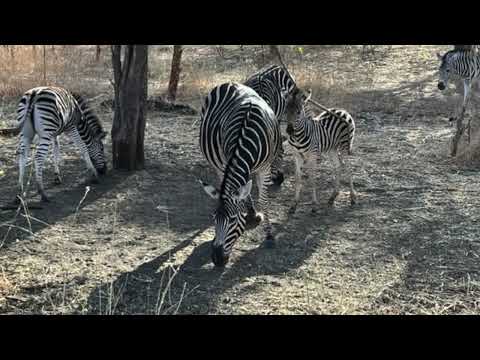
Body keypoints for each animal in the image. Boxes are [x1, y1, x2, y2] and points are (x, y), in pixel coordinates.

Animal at [198, 81, 282, 268]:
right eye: (214, 218)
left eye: (233, 220)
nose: (217, 259)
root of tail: (229, 83)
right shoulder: (227, 160)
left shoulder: (265, 168)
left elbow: (263, 201)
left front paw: (269, 235)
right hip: (217, 160)